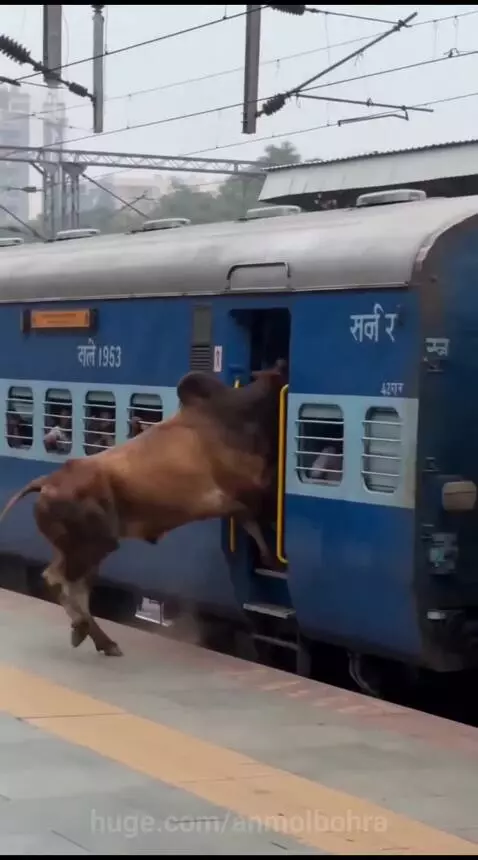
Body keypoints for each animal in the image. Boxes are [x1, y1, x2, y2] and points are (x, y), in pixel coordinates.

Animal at [0, 359, 288, 657]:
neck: (239, 415)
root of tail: (45, 483)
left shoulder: (239, 506)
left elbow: (259, 535)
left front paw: (272, 561)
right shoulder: (249, 492)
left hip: (77, 546)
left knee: (71, 584)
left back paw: (96, 637)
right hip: (97, 543)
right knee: (60, 580)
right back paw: (93, 634)